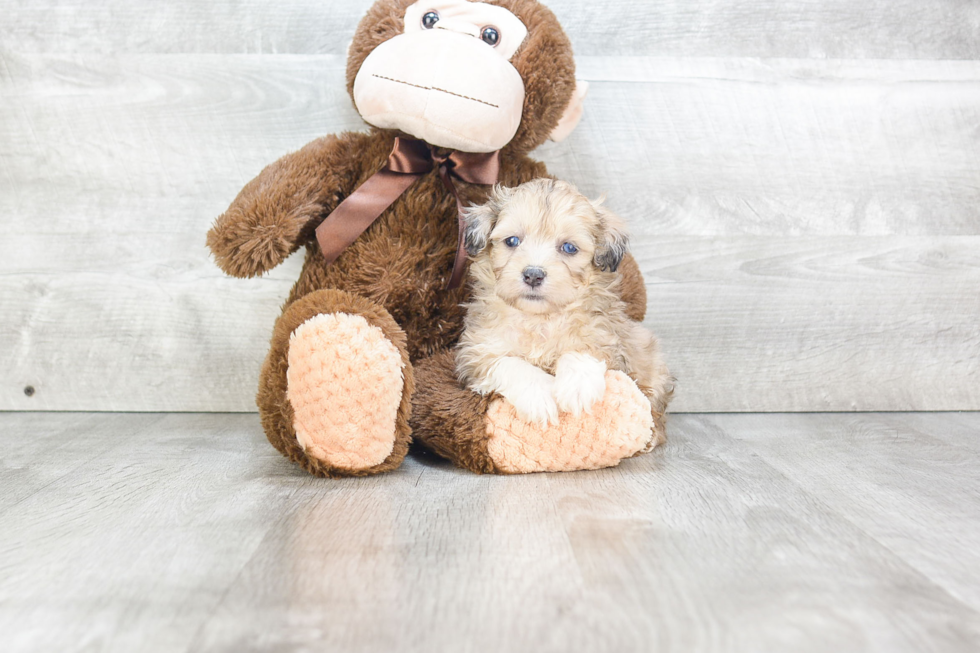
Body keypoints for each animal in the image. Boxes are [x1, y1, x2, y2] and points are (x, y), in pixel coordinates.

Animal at [454, 177, 668, 428]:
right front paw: (539, 397)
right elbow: (510, 363)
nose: (533, 274)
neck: (540, 319)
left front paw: (578, 386)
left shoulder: (606, 337)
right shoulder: (477, 353)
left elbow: (583, 349)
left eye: (568, 247)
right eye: (512, 241)